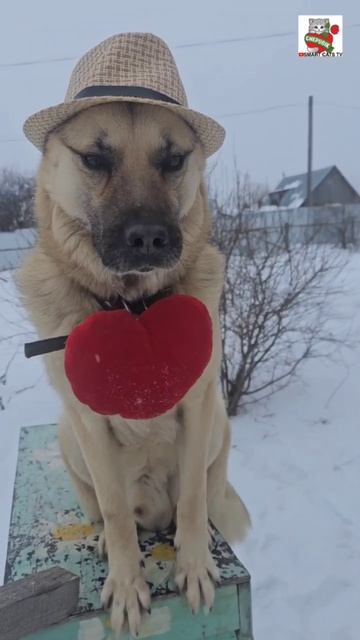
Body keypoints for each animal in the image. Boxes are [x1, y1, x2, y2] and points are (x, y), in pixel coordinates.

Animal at [17, 35, 250, 640]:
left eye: (173, 160)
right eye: (95, 159)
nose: (149, 238)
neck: (133, 307)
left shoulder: (199, 405)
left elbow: (191, 496)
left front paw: (194, 565)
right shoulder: (90, 422)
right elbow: (119, 514)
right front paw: (126, 583)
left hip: (219, 426)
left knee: (202, 492)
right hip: (68, 438)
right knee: (107, 510)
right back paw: (102, 537)